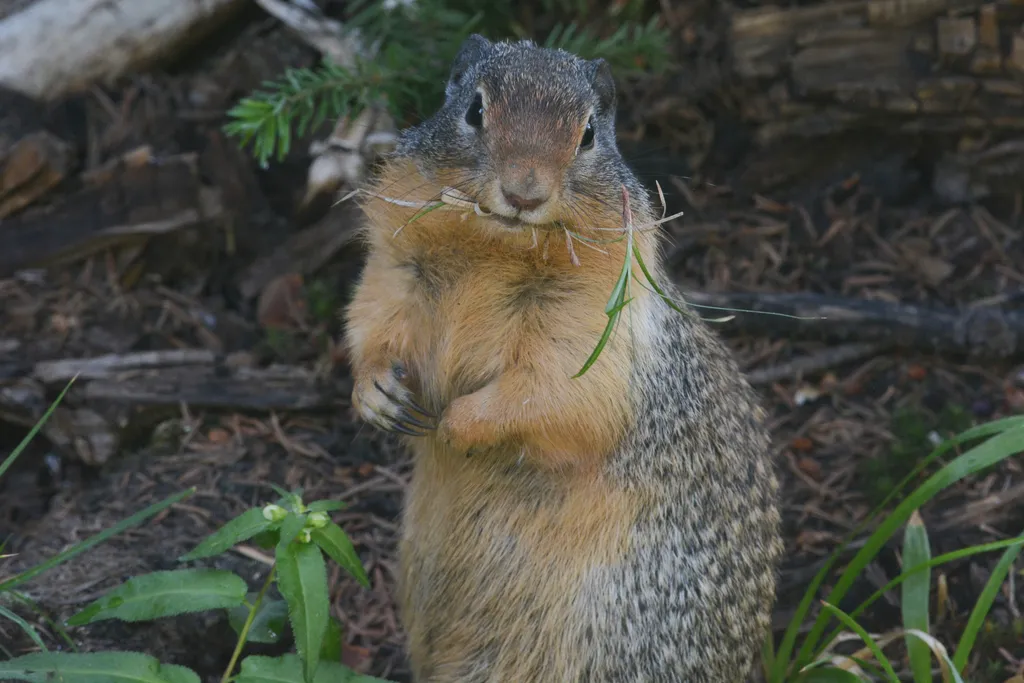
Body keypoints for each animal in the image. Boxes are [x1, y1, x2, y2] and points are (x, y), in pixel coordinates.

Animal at [343, 34, 783, 683]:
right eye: (474, 110)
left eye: (589, 135)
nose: (523, 192)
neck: (493, 251)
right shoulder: (393, 271)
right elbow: (372, 325)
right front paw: (378, 395)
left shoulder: (589, 334)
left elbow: (550, 394)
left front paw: (455, 426)